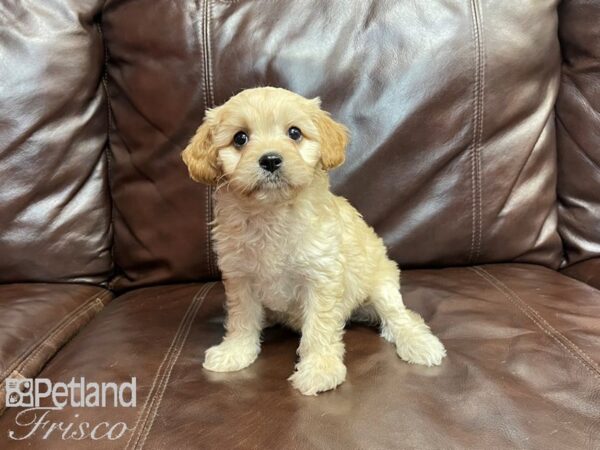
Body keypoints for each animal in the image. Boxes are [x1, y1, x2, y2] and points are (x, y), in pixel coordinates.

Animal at [183, 86, 446, 396]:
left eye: (294, 133)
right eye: (240, 138)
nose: (270, 160)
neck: (273, 213)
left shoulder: (321, 276)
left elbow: (319, 327)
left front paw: (320, 370)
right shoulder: (240, 278)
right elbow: (242, 319)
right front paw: (235, 352)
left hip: (381, 283)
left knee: (401, 316)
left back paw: (419, 344)